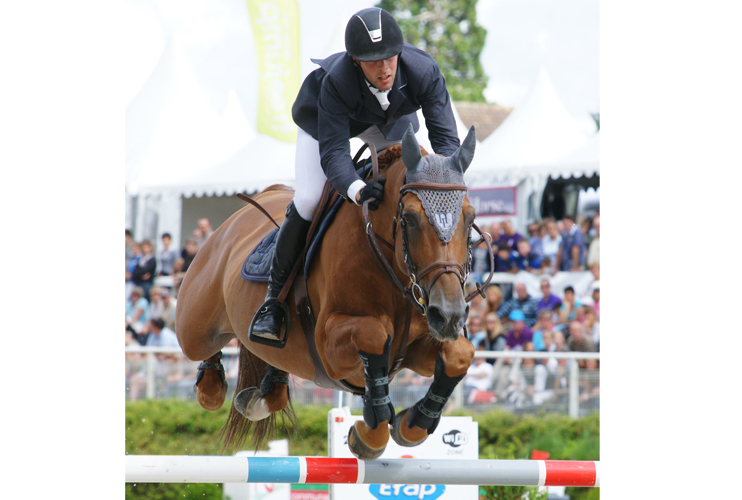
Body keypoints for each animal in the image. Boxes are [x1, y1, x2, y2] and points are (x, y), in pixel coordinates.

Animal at [176, 123, 494, 458]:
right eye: (409, 219)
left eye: (470, 218)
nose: (449, 316)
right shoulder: (329, 348)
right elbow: (374, 335)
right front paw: (372, 431)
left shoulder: (416, 349)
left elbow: (460, 353)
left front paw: (413, 424)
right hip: (195, 326)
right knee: (202, 349)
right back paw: (212, 386)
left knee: (274, 386)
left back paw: (257, 399)